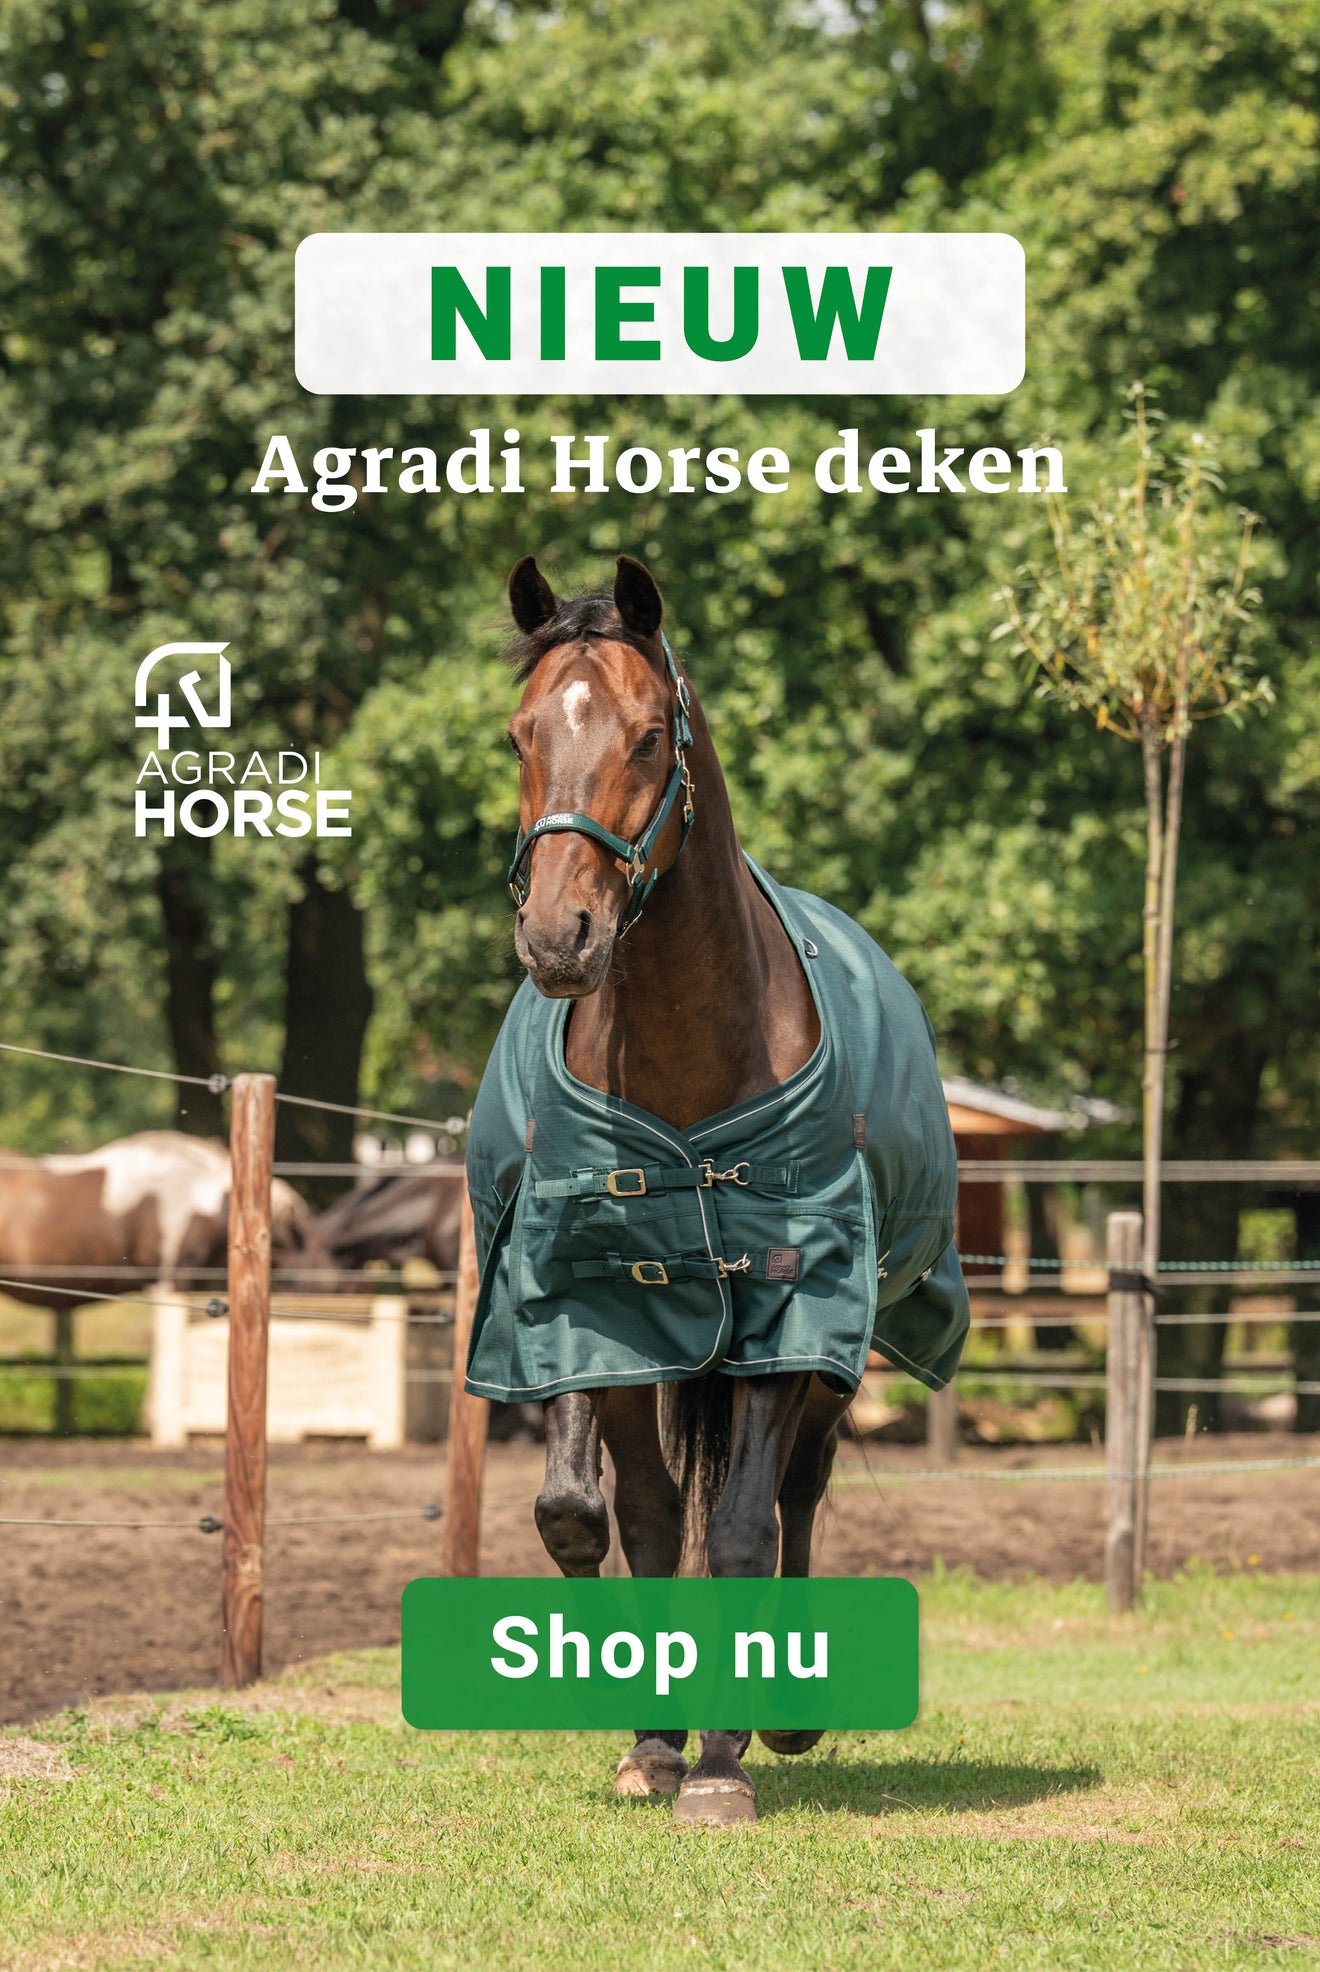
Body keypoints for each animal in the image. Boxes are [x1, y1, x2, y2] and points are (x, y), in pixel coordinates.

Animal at [464, 555, 969, 1825]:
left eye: (649, 736)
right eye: (520, 735)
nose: (560, 936)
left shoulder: (794, 1316)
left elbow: (741, 1526)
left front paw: (725, 1762)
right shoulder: (594, 1314)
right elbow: (616, 1518)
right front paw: (654, 1743)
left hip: (833, 1358)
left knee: (800, 1492)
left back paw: (784, 1718)